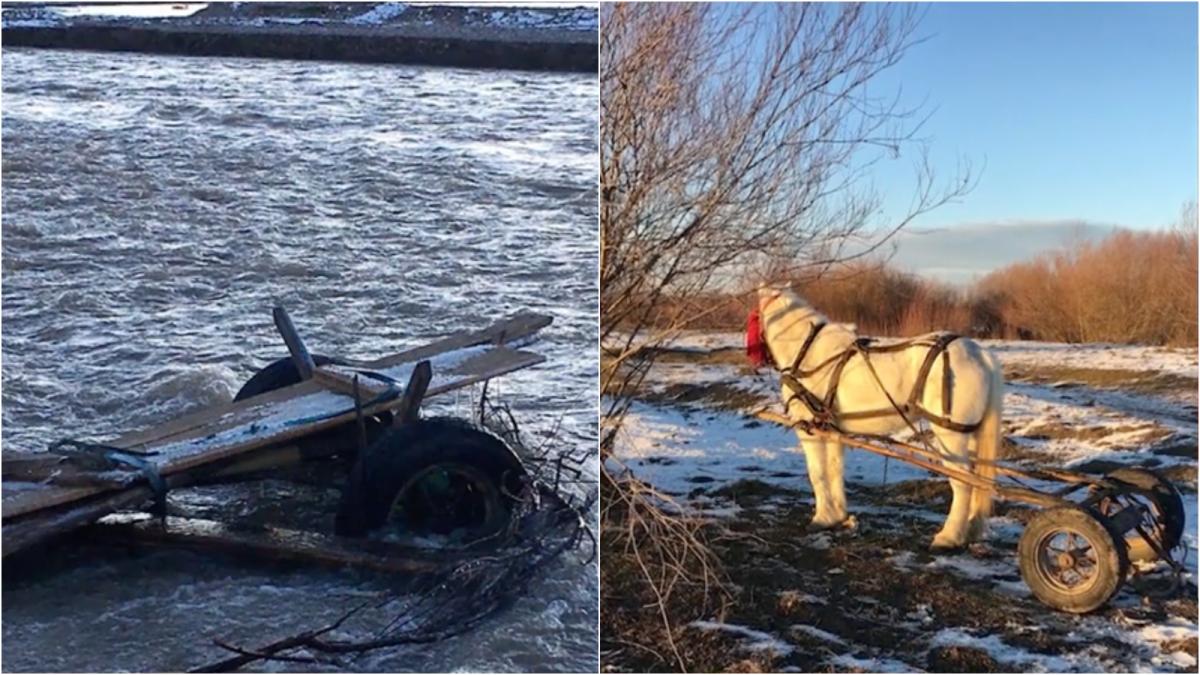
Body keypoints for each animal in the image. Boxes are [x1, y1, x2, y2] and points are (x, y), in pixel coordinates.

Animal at [748, 284, 1003, 547]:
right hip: (970, 434)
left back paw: (949, 537)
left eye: (754, 316)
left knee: (962, 482)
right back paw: (970, 529)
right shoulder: (831, 430)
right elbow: (834, 469)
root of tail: (981, 355)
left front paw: (821, 518)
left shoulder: (809, 428)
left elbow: (817, 472)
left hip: (950, 436)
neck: (808, 352)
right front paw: (837, 516)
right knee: (977, 482)